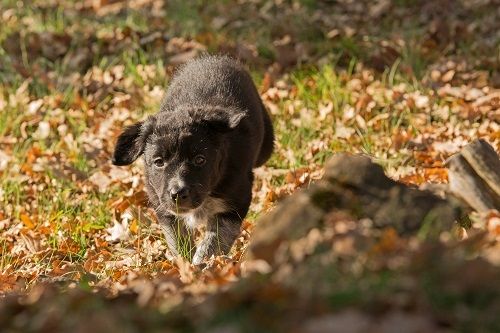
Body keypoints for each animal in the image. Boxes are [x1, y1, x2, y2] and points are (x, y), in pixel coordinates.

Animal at [112, 55, 274, 264]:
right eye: (159, 162)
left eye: (200, 160)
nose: (178, 193)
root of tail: (215, 58)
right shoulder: (163, 206)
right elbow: (179, 241)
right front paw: (186, 264)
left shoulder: (235, 199)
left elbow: (216, 240)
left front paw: (203, 264)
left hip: (266, 146)